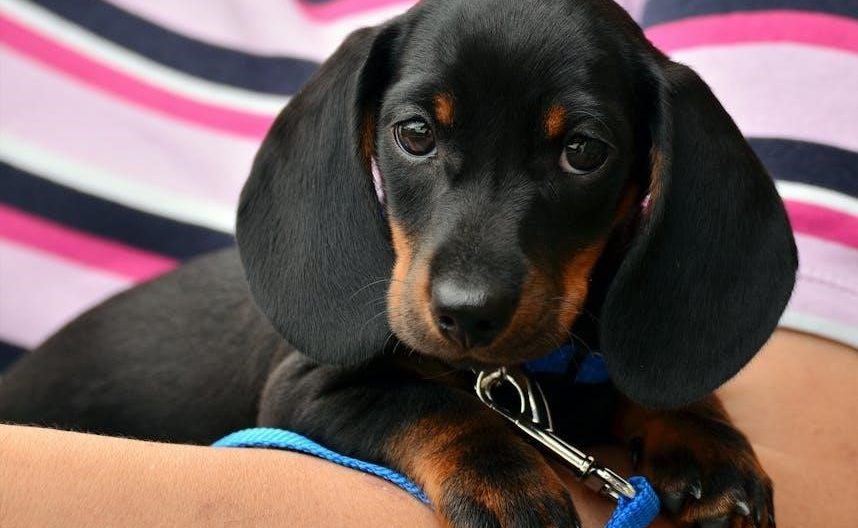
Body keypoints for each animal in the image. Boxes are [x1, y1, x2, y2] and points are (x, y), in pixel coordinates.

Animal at [0, 0, 796, 526]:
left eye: (584, 151)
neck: (523, 379)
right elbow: (434, 405)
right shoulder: (307, 390)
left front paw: (704, 439)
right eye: (414, 134)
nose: (467, 314)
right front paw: (507, 482)